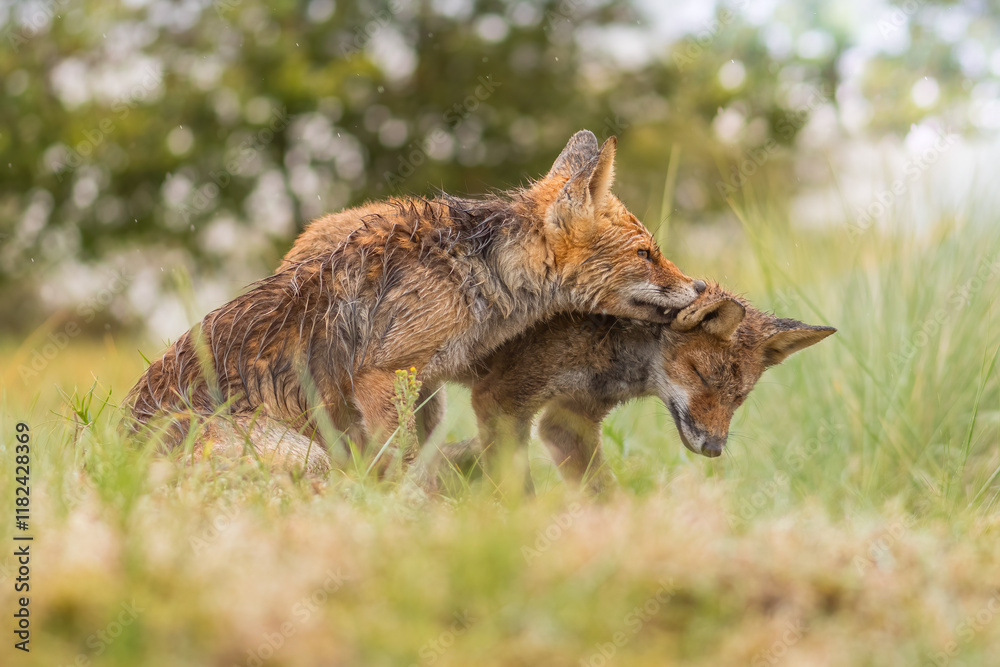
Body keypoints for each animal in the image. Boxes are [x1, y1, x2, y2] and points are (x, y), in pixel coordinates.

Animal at [125, 130, 702, 464]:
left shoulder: (424, 384)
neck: (476, 271)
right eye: (647, 254)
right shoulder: (383, 376)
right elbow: (397, 463)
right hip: (302, 449)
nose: (699, 288)